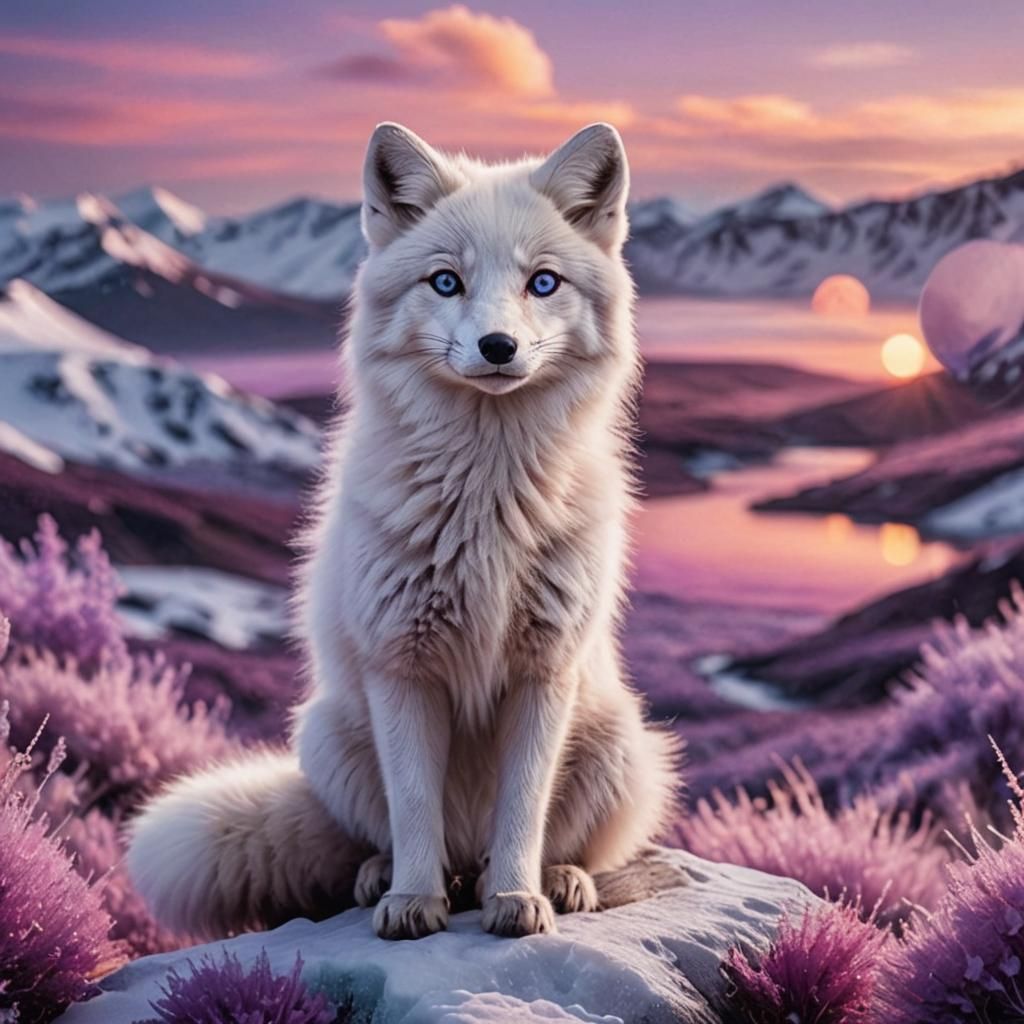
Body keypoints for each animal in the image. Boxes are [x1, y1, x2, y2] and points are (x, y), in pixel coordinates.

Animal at [126, 121, 681, 942]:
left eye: (543, 283)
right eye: (445, 282)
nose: (497, 347)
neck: (486, 508)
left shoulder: (543, 671)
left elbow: (524, 808)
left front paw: (517, 899)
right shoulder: (403, 667)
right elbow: (414, 805)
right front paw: (412, 903)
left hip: (617, 743)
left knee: (548, 843)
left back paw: (554, 879)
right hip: (328, 735)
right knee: (399, 839)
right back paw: (386, 878)